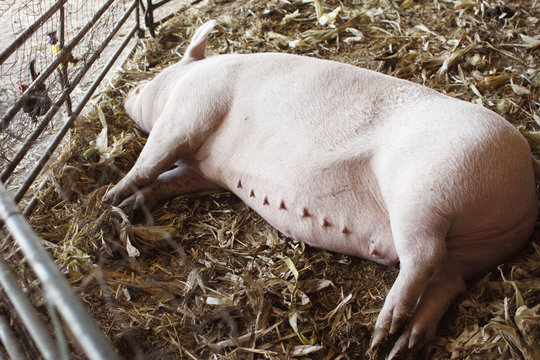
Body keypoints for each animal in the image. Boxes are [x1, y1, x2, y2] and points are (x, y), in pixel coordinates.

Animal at [104, 20, 536, 358]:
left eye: (143, 88)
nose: (128, 92)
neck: (181, 83)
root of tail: (524, 188)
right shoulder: (205, 173)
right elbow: (168, 180)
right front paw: (128, 205)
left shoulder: (190, 110)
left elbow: (153, 157)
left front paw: (112, 197)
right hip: (476, 247)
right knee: (449, 279)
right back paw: (405, 345)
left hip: (427, 192)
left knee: (424, 255)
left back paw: (381, 333)